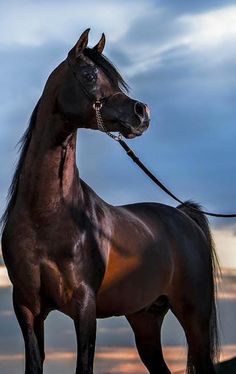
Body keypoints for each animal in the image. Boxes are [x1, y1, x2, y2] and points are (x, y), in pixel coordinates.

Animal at [1, 27, 219, 372]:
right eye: (90, 75)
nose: (142, 113)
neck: (46, 215)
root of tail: (183, 215)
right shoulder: (27, 308)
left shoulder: (84, 306)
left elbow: (84, 365)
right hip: (145, 319)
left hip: (195, 316)